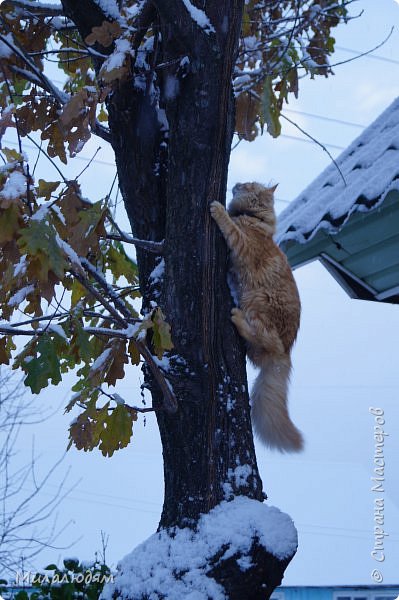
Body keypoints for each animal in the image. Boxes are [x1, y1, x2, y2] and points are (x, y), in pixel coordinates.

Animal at [209, 180, 304, 452]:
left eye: (249, 185)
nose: (237, 183)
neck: (254, 219)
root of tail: (285, 353)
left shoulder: (241, 243)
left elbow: (229, 226)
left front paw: (218, 209)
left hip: (258, 300)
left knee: (263, 337)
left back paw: (237, 318)